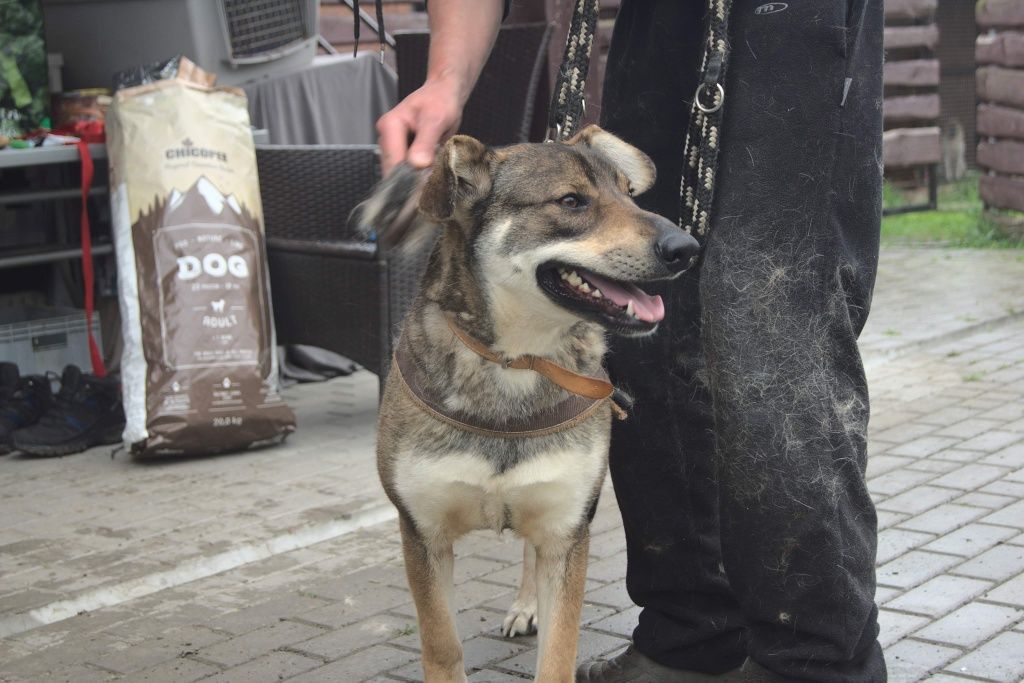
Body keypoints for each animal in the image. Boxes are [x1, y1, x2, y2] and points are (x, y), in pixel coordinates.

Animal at [356, 125, 700, 679]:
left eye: (630, 194)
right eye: (571, 201)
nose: (687, 248)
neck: (517, 362)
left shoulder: (566, 528)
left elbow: (558, 653)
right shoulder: (424, 533)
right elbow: (442, 647)